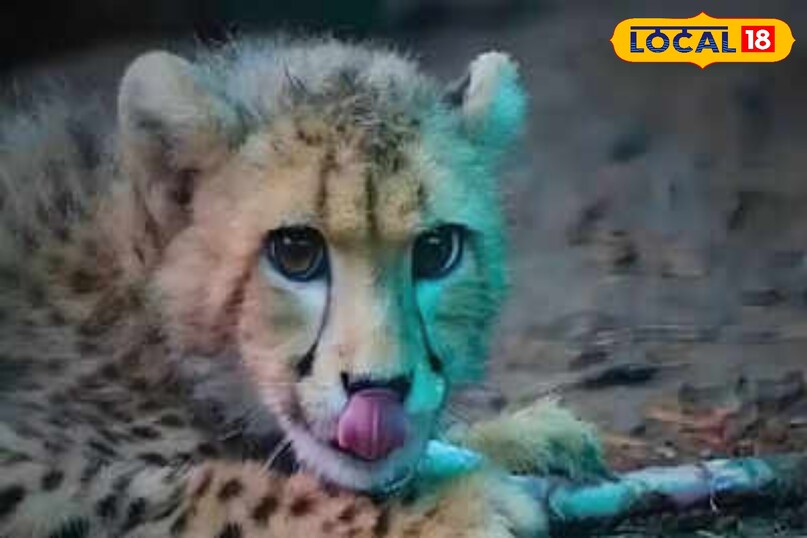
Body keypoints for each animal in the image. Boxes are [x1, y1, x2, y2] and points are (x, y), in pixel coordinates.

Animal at [0, 37, 606, 537]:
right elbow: (207, 490)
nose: (379, 390)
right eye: (295, 252)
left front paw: (521, 438)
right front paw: (450, 508)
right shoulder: (31, 476)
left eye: (437, 250)